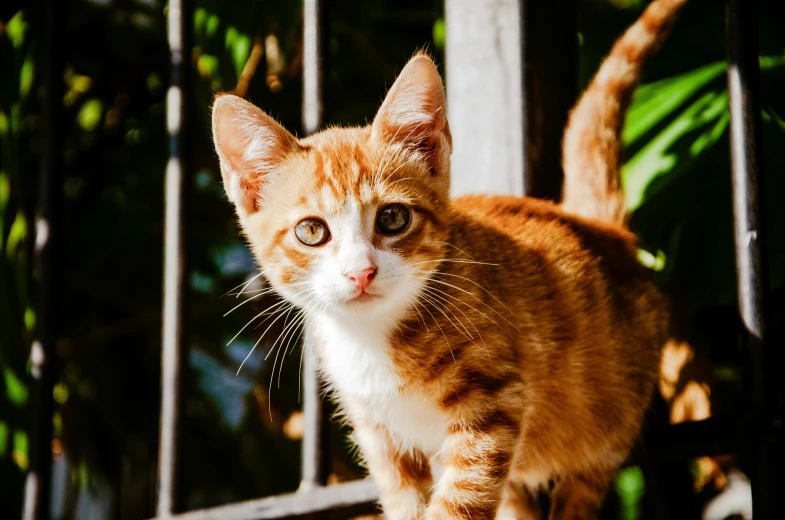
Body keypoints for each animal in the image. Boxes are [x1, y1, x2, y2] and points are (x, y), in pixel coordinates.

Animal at [213, 0, 688, 516]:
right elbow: (404, 498)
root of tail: (605, 231)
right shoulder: (379, 434)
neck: (373, 337)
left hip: (608, 422)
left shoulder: (494, 404)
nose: (361, 272)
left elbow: (462, 497)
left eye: (393, 218)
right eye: (312, 231)